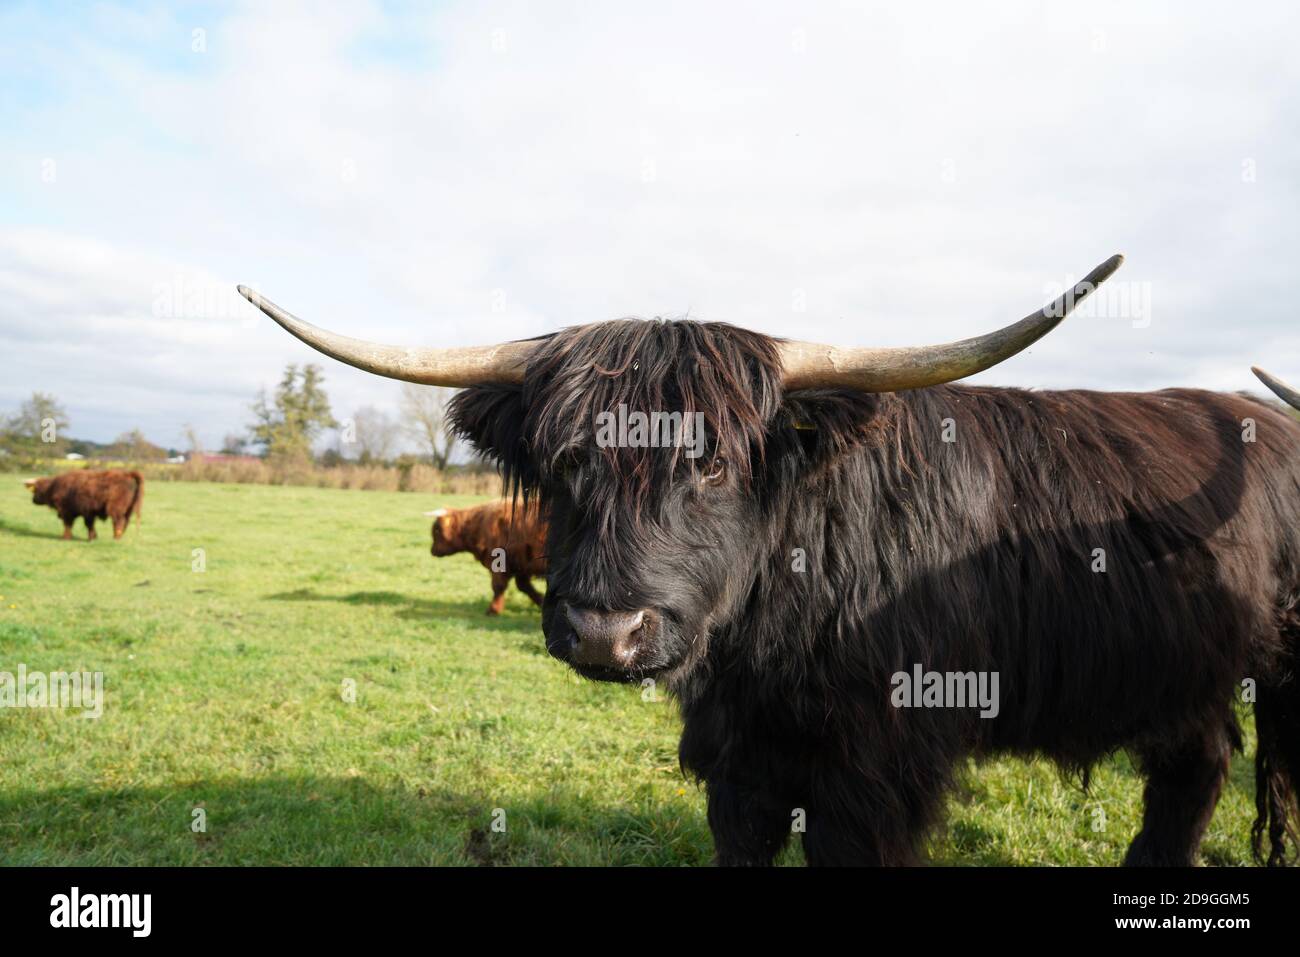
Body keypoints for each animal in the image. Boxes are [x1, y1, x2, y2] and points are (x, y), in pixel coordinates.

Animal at [239, 255, 1300, 867]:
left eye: (711, 463)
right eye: (567, 460)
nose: (603, 631)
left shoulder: (875, 771)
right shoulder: (740, 762)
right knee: (1196, 768)